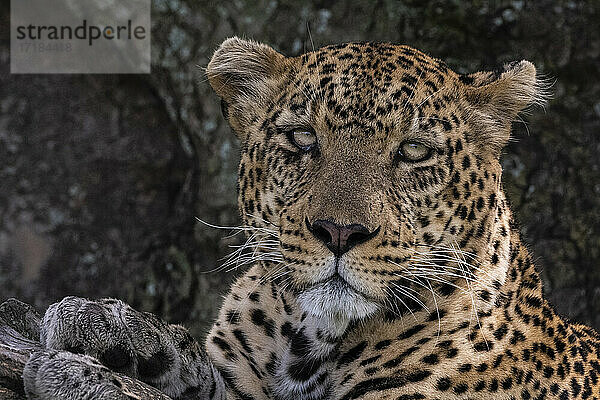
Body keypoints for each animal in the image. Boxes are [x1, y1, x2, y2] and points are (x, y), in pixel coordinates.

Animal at [9, 37, 600, 400]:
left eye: (413, 151)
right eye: (301, 138)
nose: (340, 232)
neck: (310, 341)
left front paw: (83, 375)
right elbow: (196, 366)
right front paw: (109, 326)